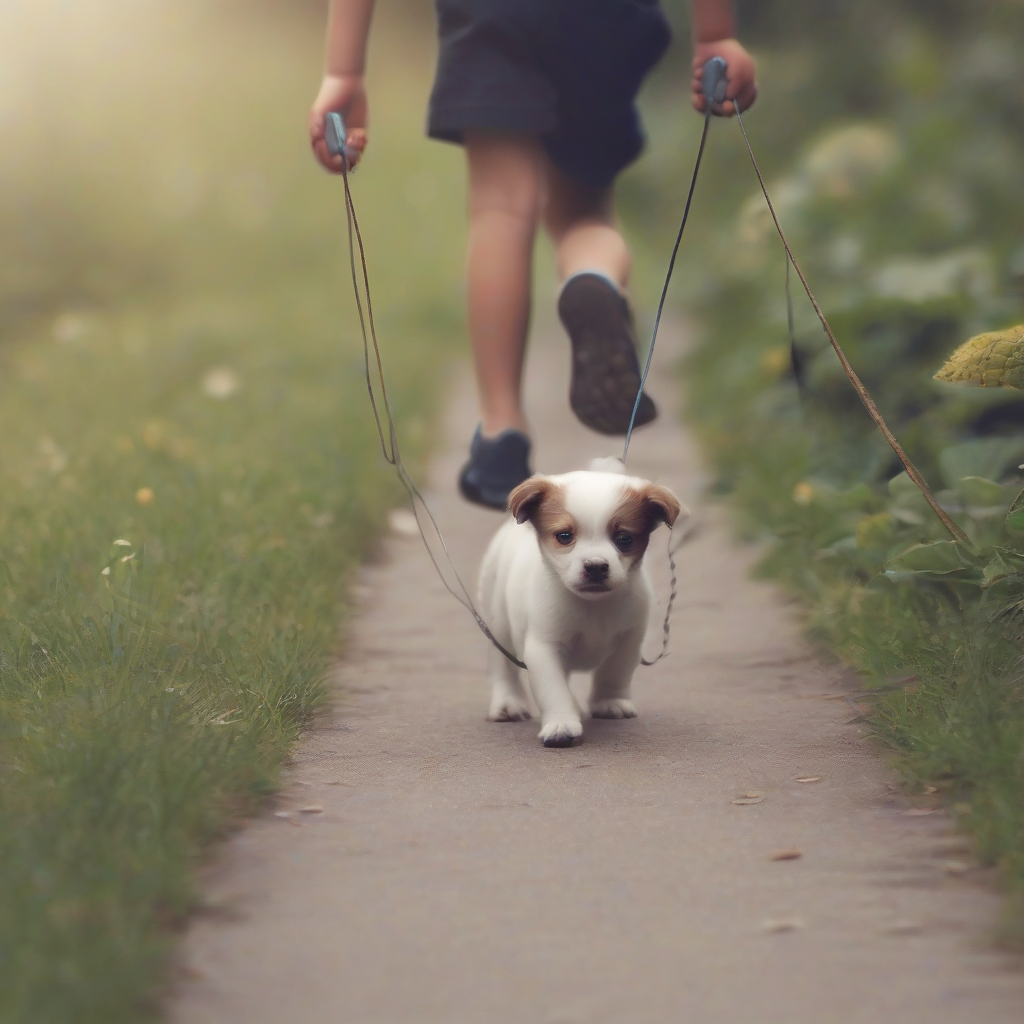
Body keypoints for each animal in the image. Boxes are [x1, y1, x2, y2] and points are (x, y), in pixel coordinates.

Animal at [475, 464, 684, 745]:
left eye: (624, 539)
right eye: (564, 536)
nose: (595, 566)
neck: (592, 607)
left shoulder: (629, 639)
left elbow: (614, 672)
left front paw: (609, 701)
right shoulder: (545, 644)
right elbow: (553, 688)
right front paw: (561, 723)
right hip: (498, 623)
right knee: (502, 667)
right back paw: (507, 704)